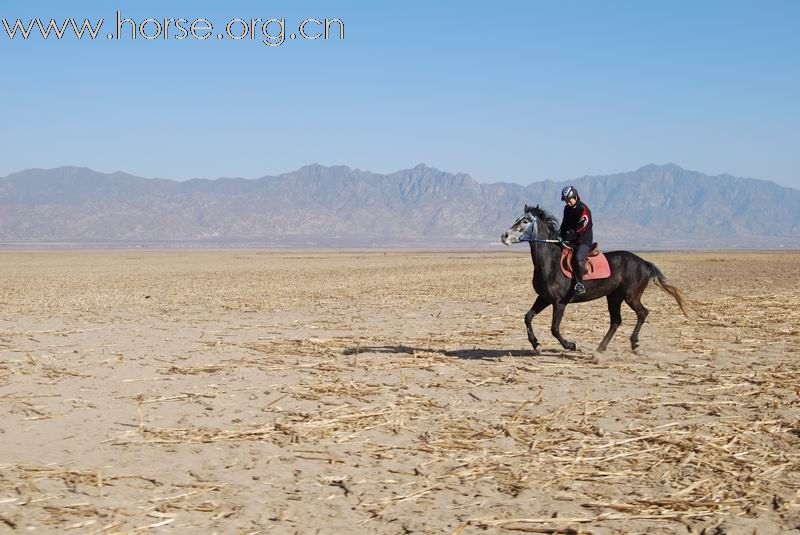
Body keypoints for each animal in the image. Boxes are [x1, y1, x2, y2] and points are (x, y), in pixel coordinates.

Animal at [500, 206, 688, 356]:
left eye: (525, 221)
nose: (504, 236)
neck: (549, 261)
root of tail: (644, 263)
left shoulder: (560, 302)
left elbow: (554, 328)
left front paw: (571, 345)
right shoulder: (544, 298)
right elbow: (528, 317)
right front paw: (536, 345)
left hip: (631, 296)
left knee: (642, 313)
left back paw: (634, 344)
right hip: (614, 297)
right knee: (616, 321)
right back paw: (600, 348)